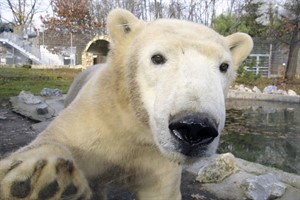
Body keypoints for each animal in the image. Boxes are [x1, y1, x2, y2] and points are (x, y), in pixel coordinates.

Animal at [0, 9, 253, 200]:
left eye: (224, 66)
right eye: (157, 57)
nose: (195, 128)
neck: (135, 122)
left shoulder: (158, 158)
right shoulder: (98, 116)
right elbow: (56, 139)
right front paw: (42, 183)